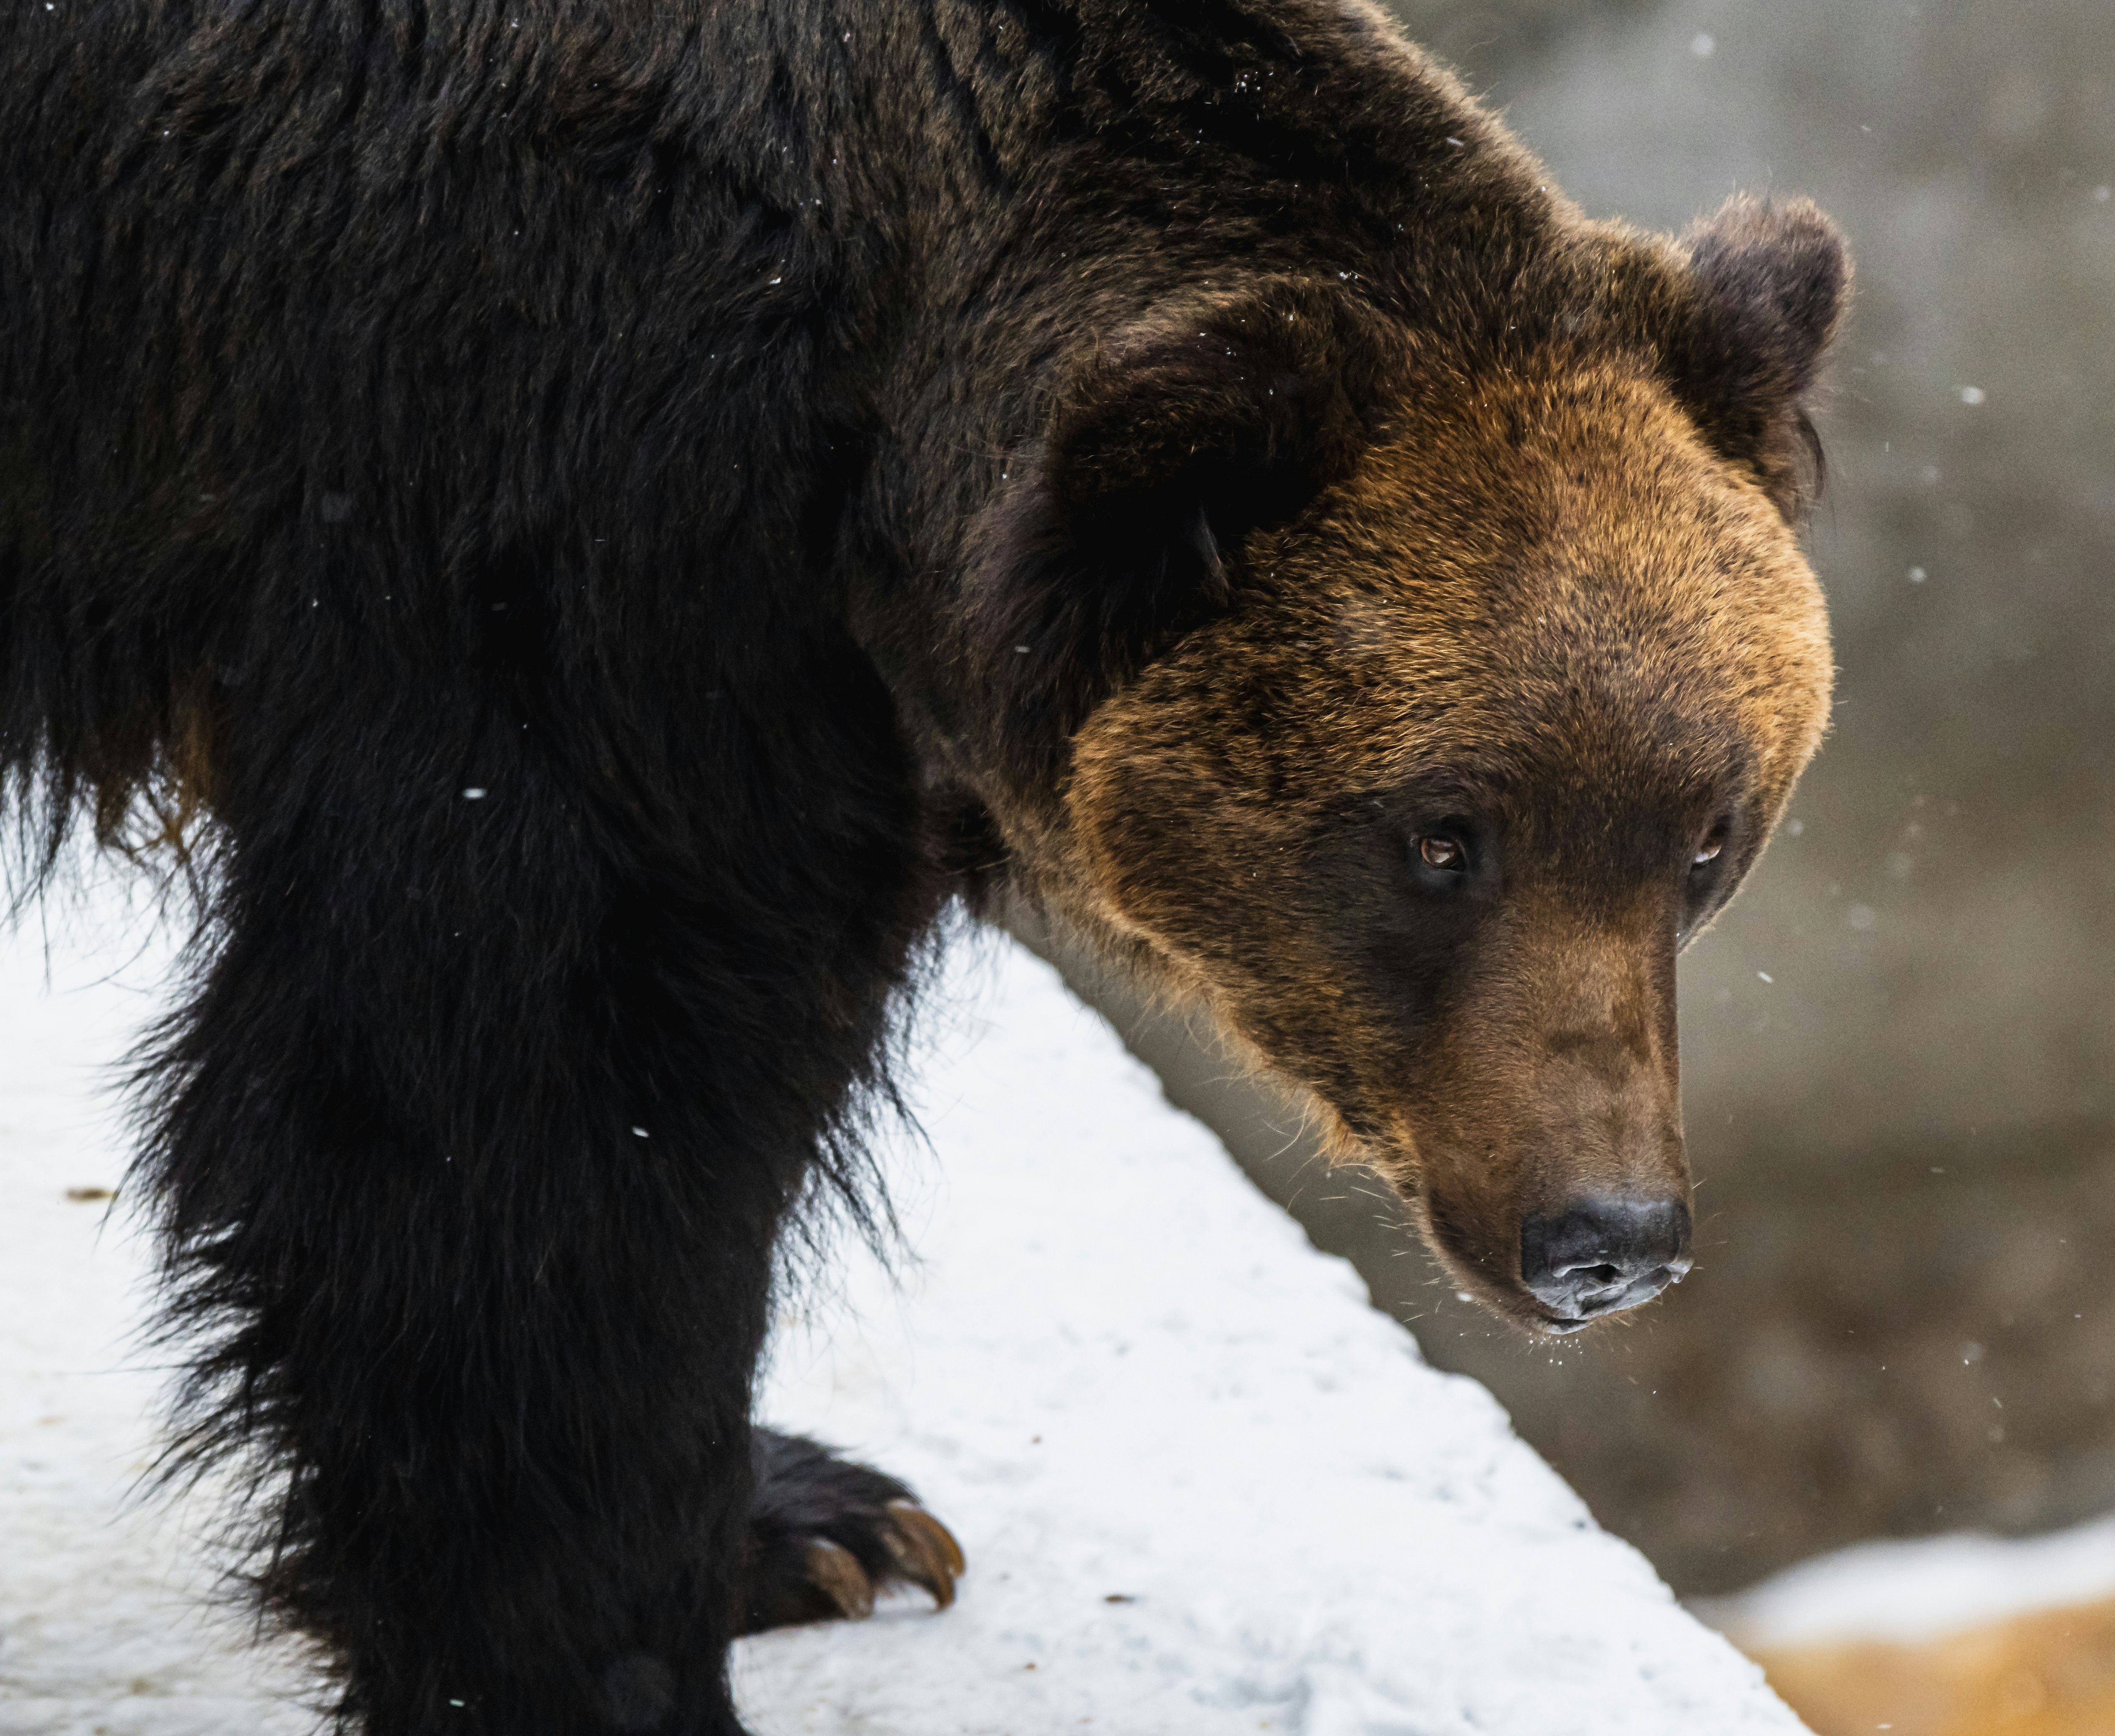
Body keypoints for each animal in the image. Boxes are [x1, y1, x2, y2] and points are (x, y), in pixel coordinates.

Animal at [0, 0, 1845, 1731]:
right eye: (1440, 836)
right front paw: (613, 1648)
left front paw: (816, 1519)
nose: (1603, 1232)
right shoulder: (542, 530)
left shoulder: (818, 717)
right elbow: (504, 1118)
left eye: (1703, 833)